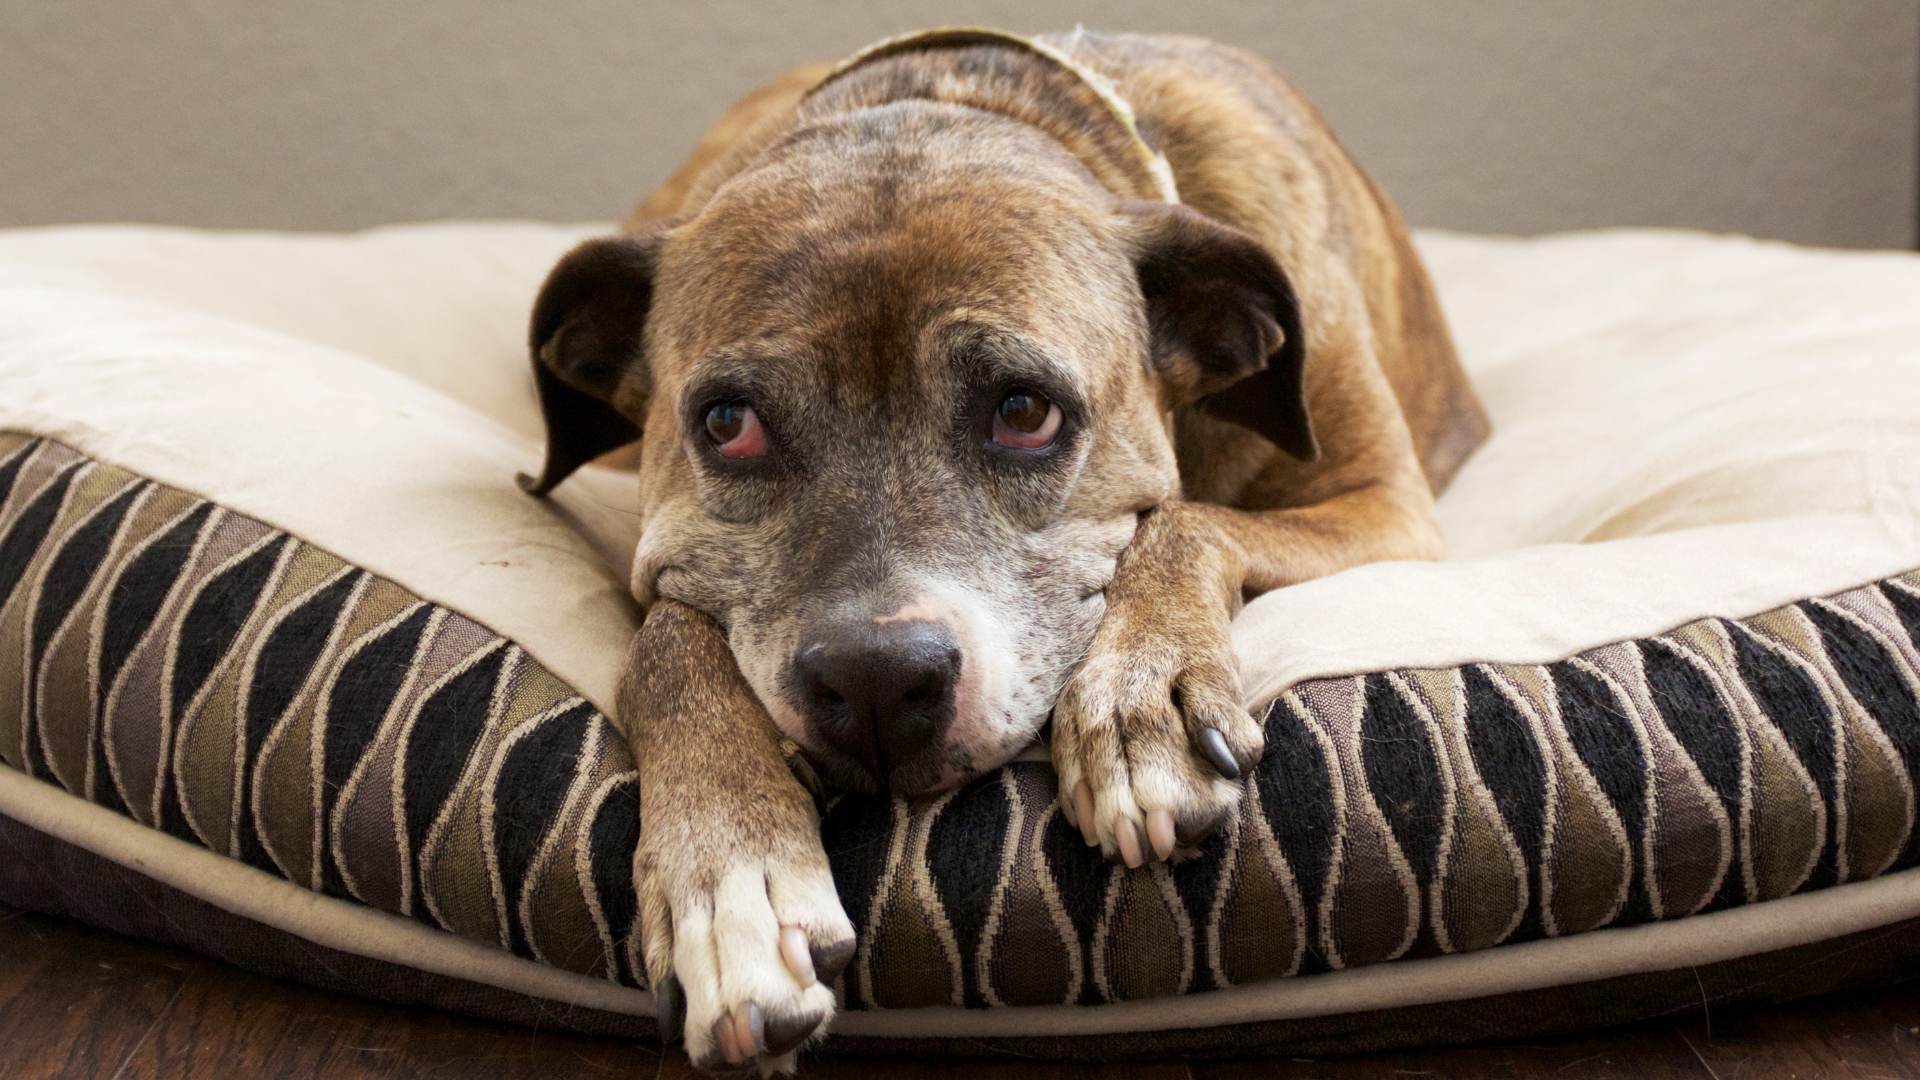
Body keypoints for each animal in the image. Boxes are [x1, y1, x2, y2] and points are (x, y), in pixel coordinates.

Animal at [518, 29, 1489, 1068]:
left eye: (1025, 411)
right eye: (728, 423)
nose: (876, 681)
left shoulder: (1386, 508)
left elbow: (1184, 520)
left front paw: (1139, 703)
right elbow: (665, 641)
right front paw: (734, 881)